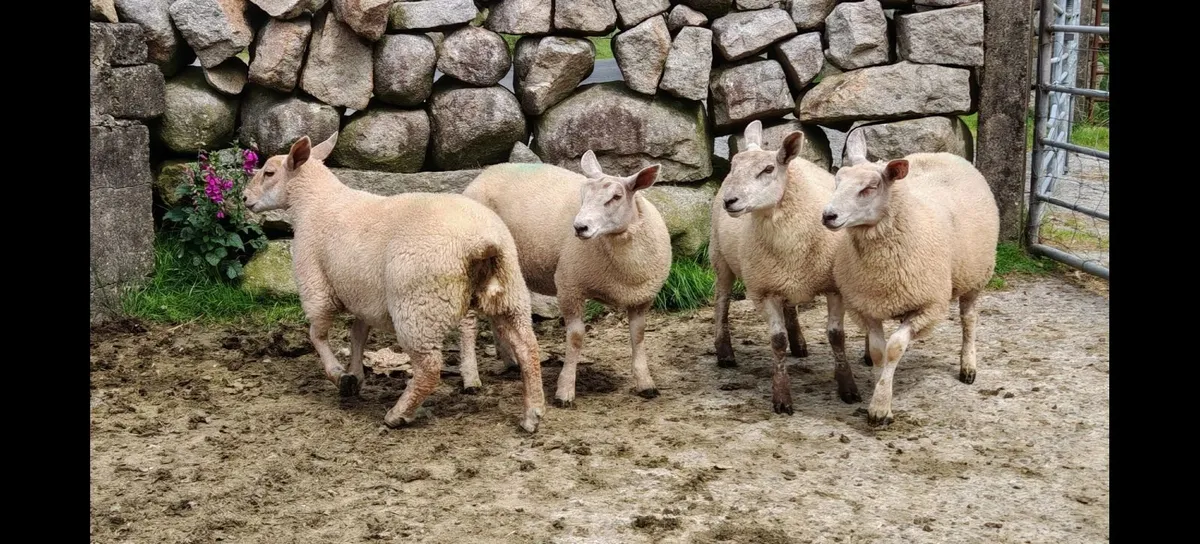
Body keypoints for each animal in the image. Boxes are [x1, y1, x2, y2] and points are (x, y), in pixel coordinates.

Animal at [241, 133, 546, 433]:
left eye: (269, 172)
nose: (244, 198)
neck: (315, 203)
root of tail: (483, 243)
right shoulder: (364, 293)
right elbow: (358, 334)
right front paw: (356, 374)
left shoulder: (316, 287)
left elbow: (317, 335)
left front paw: (340, 376)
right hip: (510, 293)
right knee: (527, 348)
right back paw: (533, 413)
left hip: (418, 306)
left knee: (429, 368)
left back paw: (398, 414)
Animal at [457, 151, 672, 407]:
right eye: (583, 195)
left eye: (617, 197)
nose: (580, 227)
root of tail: (484, 174)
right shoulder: (570, 285)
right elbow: (576, 337)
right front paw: (565, 390)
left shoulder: (642, 297)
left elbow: (638, 336)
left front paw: (645, 383)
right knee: (468, 322)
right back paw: (471, 378)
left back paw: (510, 361)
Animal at [709, 119, 863, 415]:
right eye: (732, 166)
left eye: (769, 169)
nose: (730, 201)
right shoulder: (764, 289)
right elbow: (777, 342)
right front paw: (781, 396)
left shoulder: (834, 287)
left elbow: (836, 336)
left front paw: (847, 387)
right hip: (720, 257)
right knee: (722, 302)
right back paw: (724, 352)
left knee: (790, 305)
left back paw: (799, 343)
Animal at [822, 129, 1000, 426]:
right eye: (837, 180)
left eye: (870, 187)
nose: (828, 215)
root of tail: (941, 154)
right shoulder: (865, 305)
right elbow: (879, 351)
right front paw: (877, 385)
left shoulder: (928, 307)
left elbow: (893, 348)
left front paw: (880, 407)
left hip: (975, 275)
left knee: (969, 320)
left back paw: (968, 367)